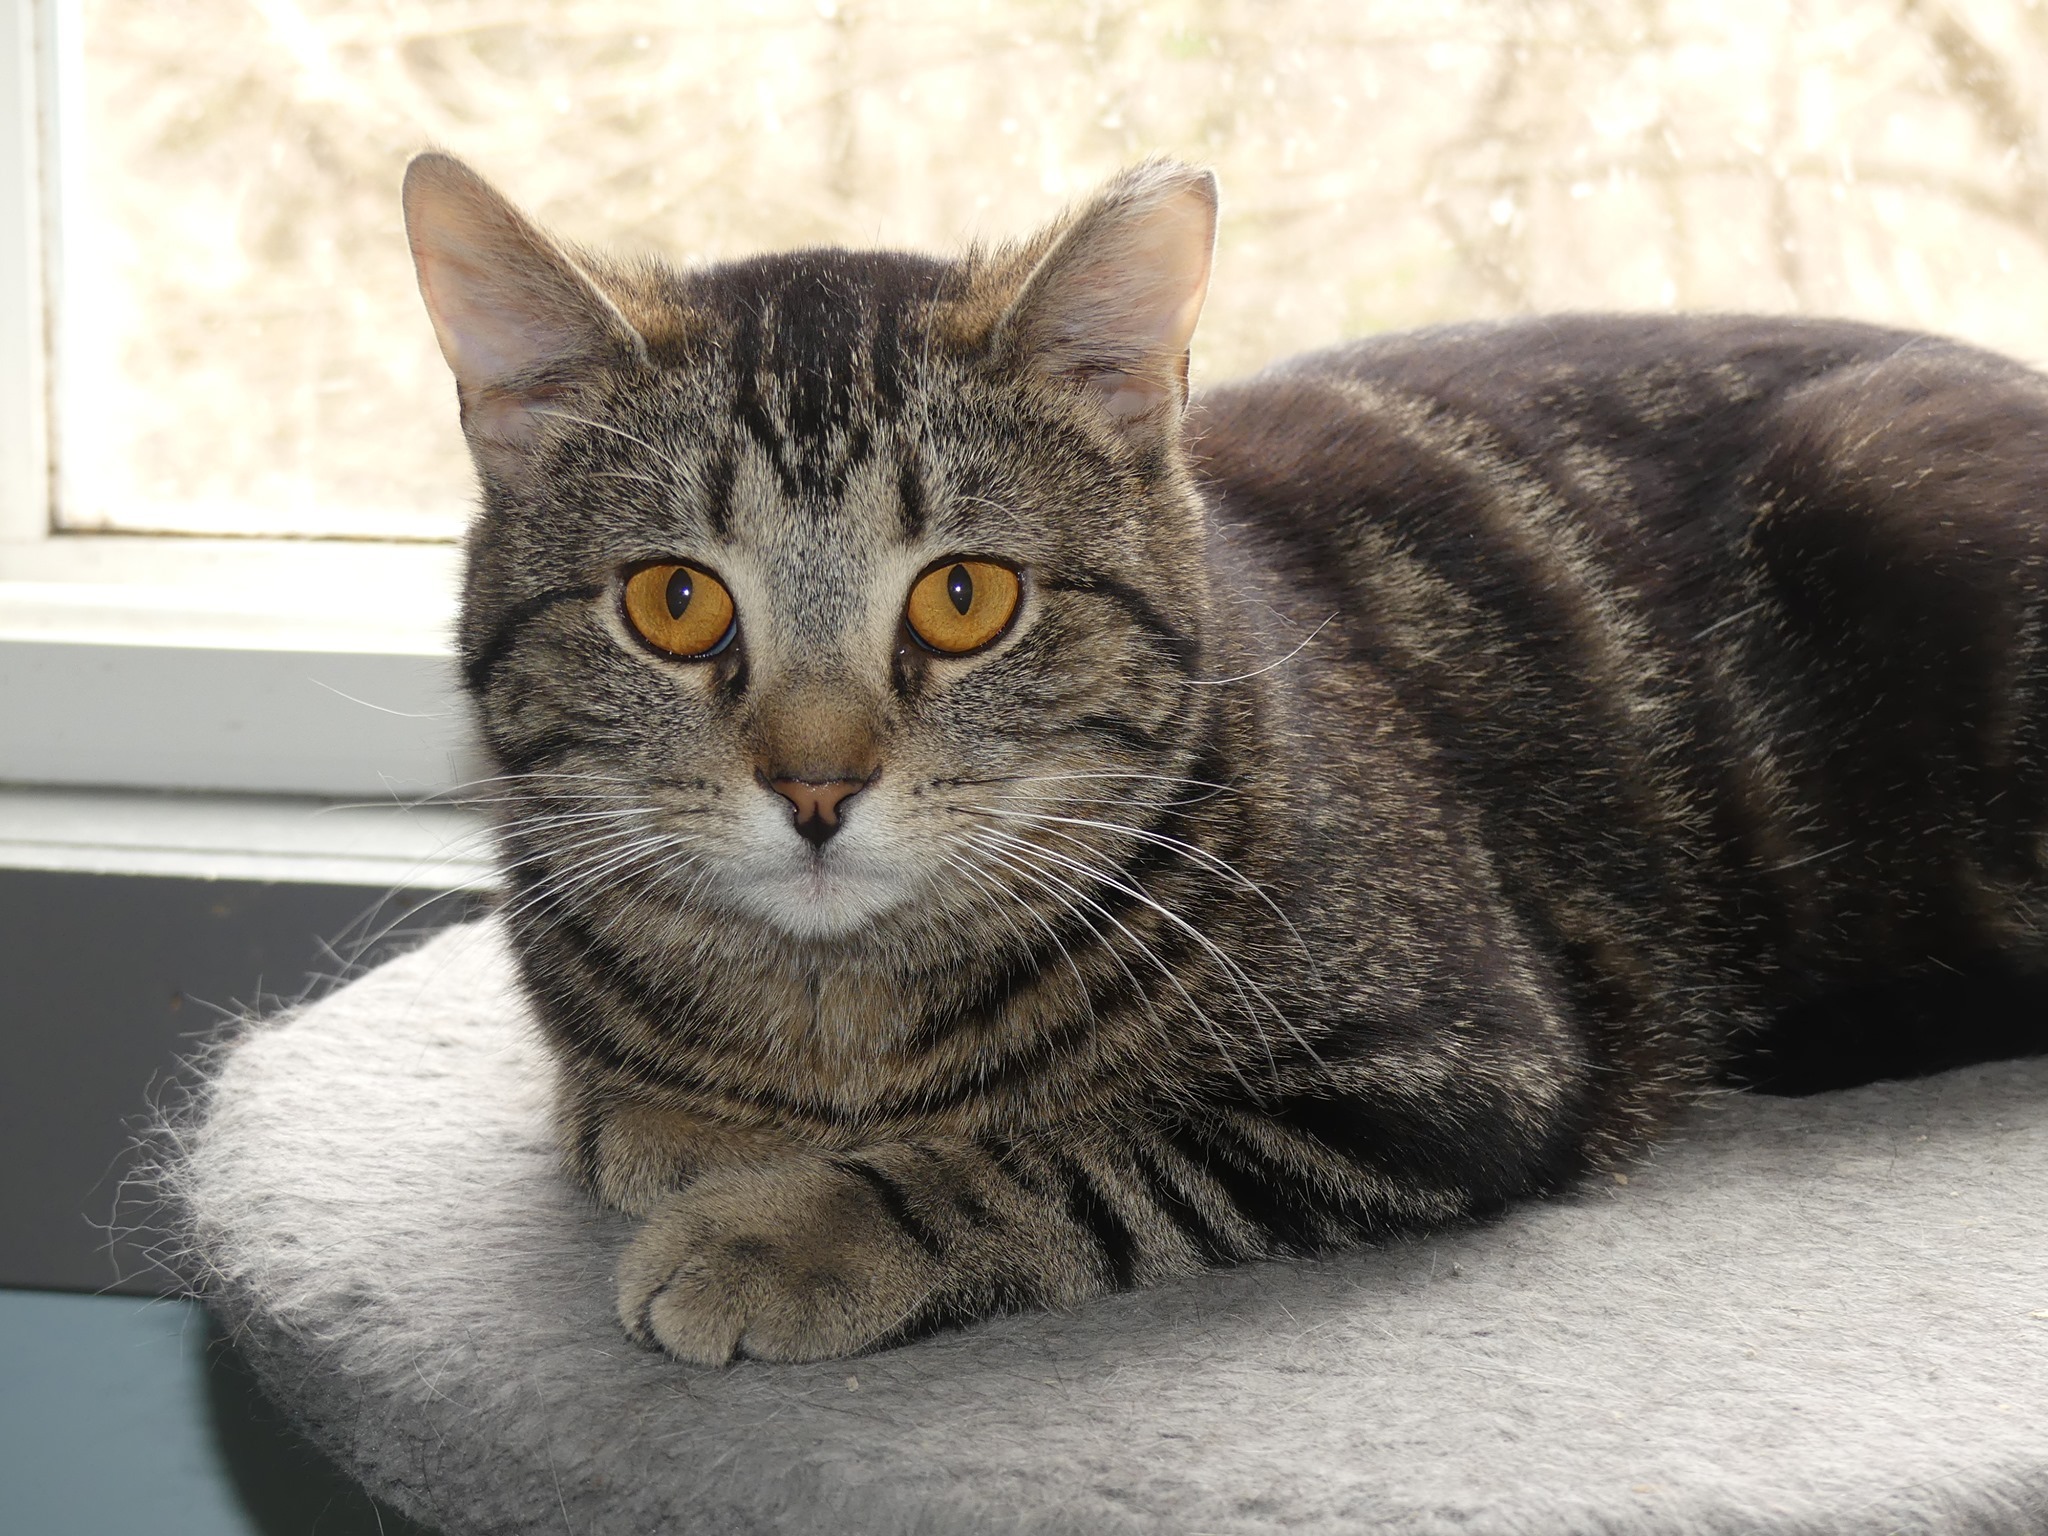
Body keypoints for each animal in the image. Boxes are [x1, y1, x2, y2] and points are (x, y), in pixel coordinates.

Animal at [395, 150, 2048, 1368]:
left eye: (964, 596)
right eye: (674, 604)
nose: (816, 789)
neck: (835, 1027)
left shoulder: (1458, 1061)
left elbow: (1058, 1150)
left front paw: (786, 1231)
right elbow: (616, 1102)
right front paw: (682, 1128)